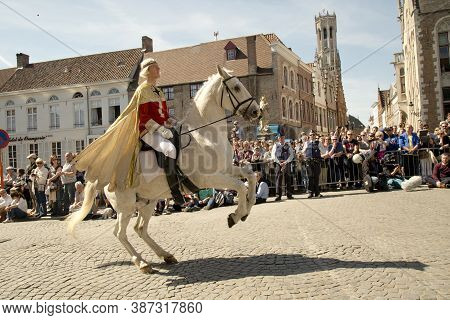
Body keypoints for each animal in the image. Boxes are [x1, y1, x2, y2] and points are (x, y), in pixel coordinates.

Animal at [68, 66, 262, 274]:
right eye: (236, 87)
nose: (256, 111)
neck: (203, 137)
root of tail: (102, 172)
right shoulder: (208, 178)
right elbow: (240, 186)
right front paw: (236, 215)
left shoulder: (227, 169)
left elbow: (250, 176)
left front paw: (247, 209)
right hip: (126, 206)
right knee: (120, 233)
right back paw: (142, 263)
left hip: (148, 202)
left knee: (140, 229)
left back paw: (165, 255)